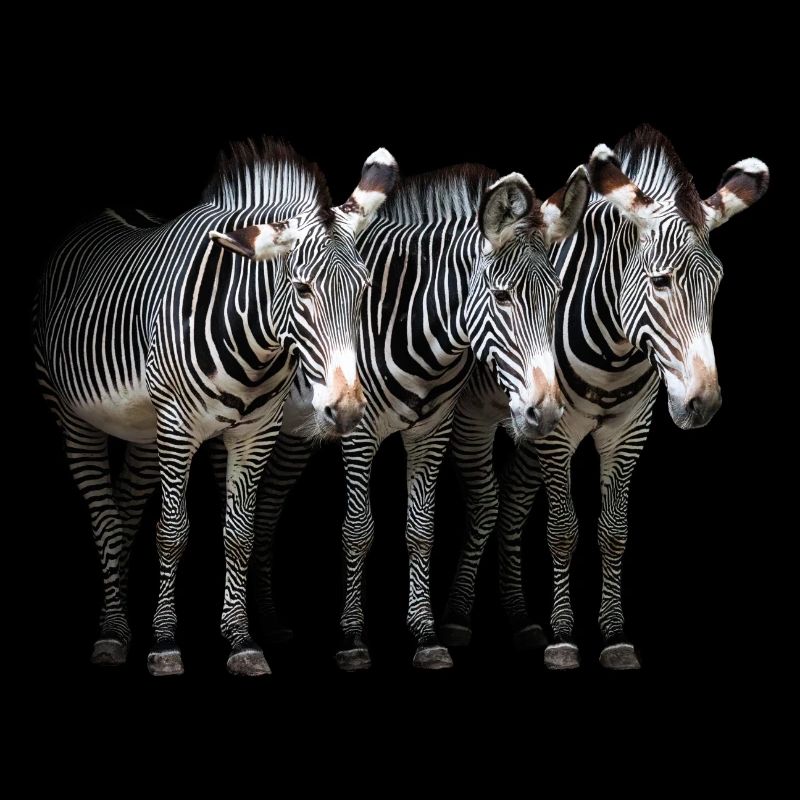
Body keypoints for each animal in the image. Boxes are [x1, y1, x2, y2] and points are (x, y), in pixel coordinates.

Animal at [33, 138, 398, 676]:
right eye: (303, 289)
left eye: (365, 290)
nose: (348, 411)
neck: (254, 343)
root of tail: (108, 210)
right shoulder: (177, 428)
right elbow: (172, 533)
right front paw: (164, 644)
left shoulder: (256, 432)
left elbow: (239, 534)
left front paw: (242, 640)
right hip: (77, 417)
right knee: (104, 519)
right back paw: (112, 634)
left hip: (143, 430)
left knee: (123, 510)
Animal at [238, 160, 591, 670]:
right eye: (502, 297)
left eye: (558, 295)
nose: (543, 413)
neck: (413, 323)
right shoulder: (359, 430)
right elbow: (358, 529)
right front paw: (353, 639)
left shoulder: (433, 430)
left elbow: (421, 529)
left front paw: (426, 636)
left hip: (294, 430)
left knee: (266, 507)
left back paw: (269, 624)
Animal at [441, 125, 769, 669]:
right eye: (661, 282)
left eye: (718, 284)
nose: (703, 405)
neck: (615, 351)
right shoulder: (557, 434)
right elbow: (562, 530)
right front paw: (564, 638)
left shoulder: (628, 431)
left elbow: (613, 532)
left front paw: (614, 635)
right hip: (477, 417)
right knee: (486, 505)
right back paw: (458, 618)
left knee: (511, 503)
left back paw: (520, 619)